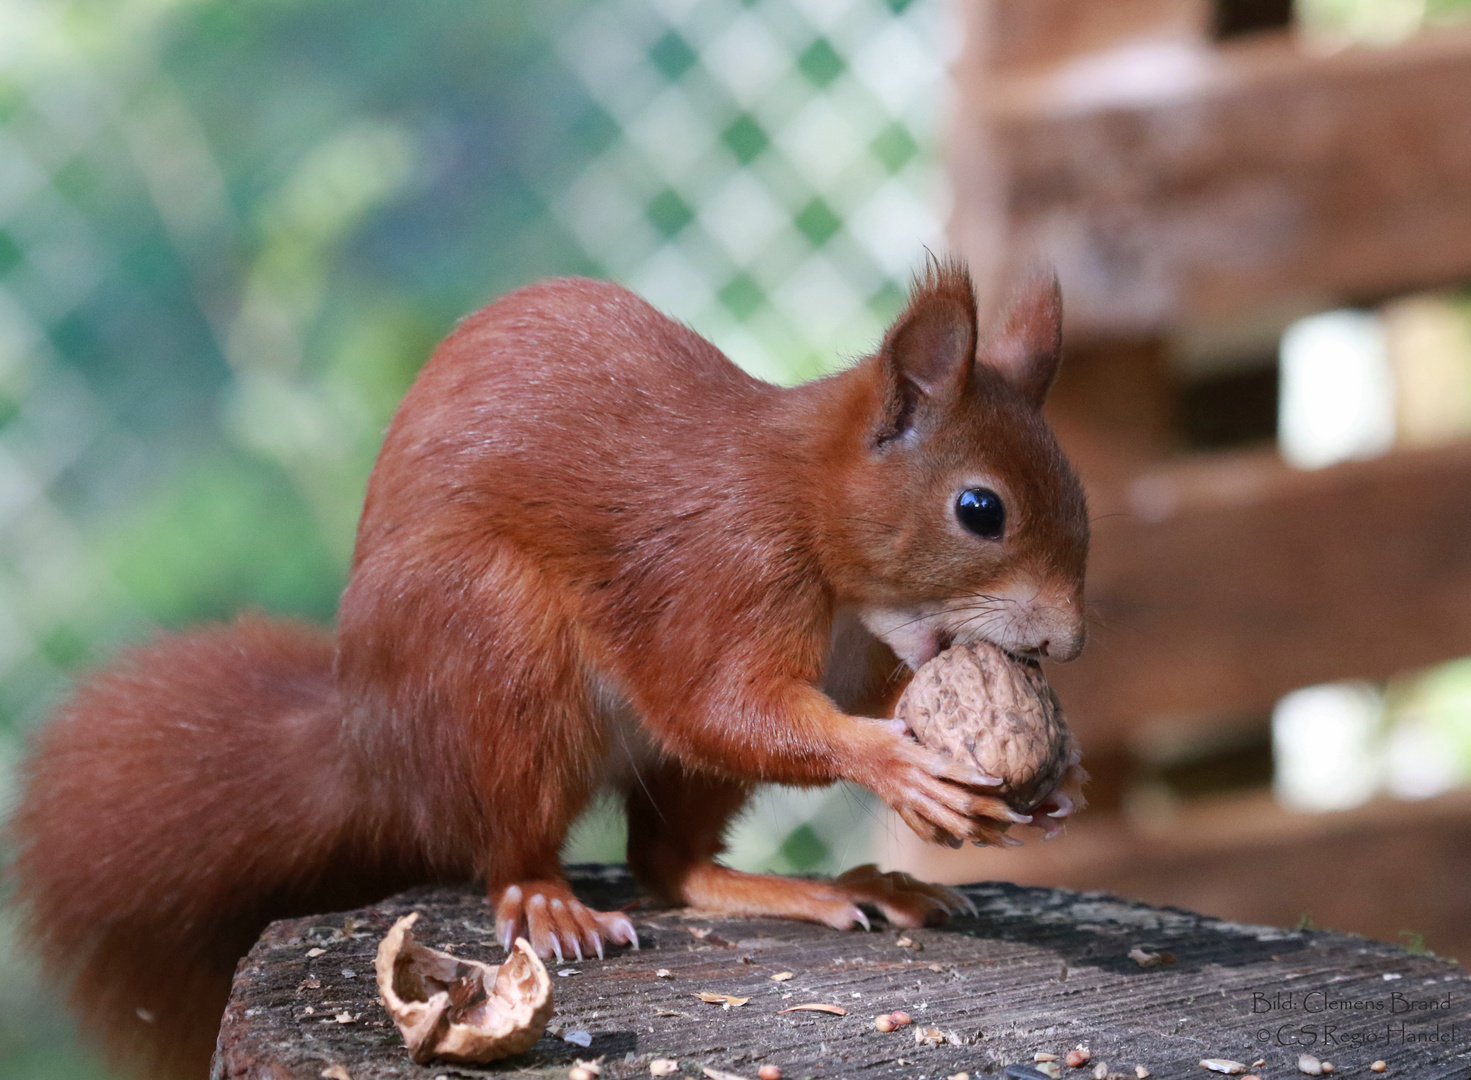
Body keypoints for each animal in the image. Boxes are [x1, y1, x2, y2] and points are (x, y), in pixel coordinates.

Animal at [5, 257, 1088, 1077]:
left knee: (669, 861)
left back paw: (829, 886)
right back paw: (550, 902)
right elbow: (722, 705)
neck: (809, 516)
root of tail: (373, 751)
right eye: (979, 510)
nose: (1068, 644)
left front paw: (1056, 776)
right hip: (494, 654)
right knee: (516, 840)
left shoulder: (863, 653)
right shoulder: (718, 574)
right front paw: (900, 766)